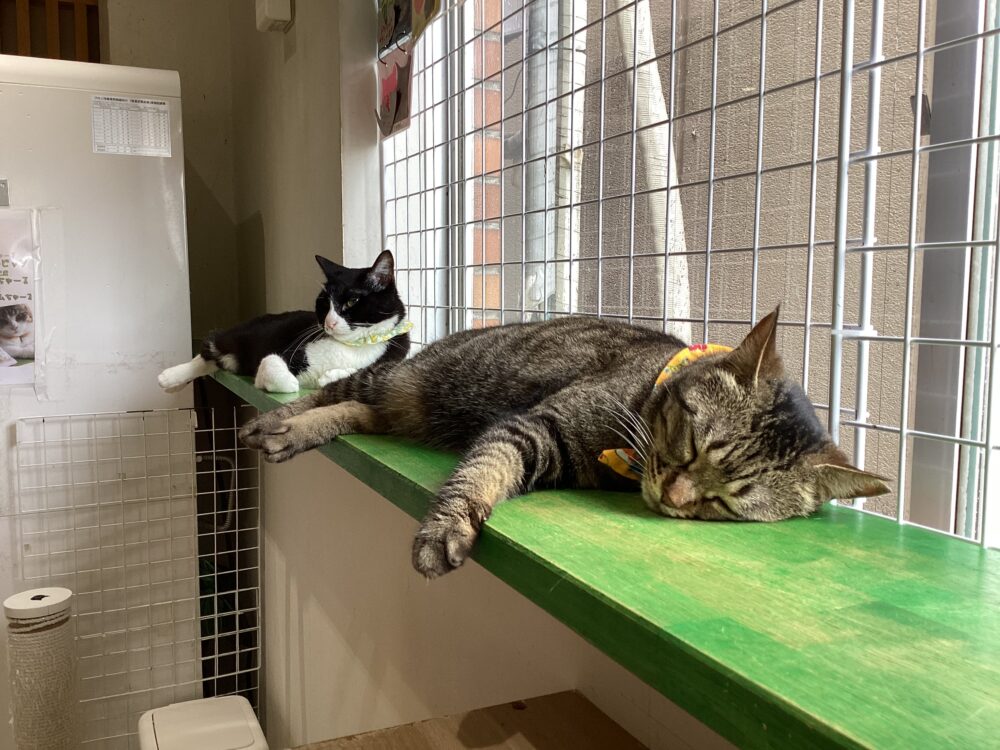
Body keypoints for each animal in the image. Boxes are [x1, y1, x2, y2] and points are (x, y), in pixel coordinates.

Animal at [158, 250, 410, 394]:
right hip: (238, 336)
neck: (353, 345)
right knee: (209, 348)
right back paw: (169, 378)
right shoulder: (291, 351)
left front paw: (330, 376)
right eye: (323, 303)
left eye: (352, 301)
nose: (329, 323)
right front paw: (290, 382)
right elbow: (271, 364)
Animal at [238, 307, 889, 578]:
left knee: (357, 410)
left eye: (725, 502)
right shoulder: (535, 426)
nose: (675, 497)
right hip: (404, 381)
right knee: (338, 392)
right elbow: (479, 472)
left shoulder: (545, 445)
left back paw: (293, 431)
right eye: (696, 445)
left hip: (406, 407)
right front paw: (445, 529)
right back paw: (279, 420)